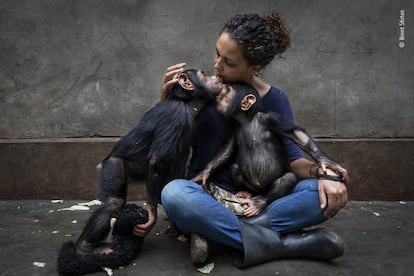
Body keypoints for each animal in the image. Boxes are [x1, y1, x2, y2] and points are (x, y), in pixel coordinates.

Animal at [57, 69, 223, 274]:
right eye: (203, 74)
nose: (215, 77)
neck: (189, 105)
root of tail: (103, 162)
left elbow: (176, 165)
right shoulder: (174, 116)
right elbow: (157, 161)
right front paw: (151, 214)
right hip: (113, 166)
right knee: (114, 202)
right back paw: (83, 249)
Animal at [192, 83, 344, 217]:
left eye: (227, 93)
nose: (219, 97)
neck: (248, 119)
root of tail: (261, 190)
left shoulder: (271, 118)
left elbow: (296, 135)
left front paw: (325, 161)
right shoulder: (234, 129)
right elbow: (227, 150)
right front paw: (203, 174)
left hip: (270, 186)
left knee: (287, 179)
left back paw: (259, 203)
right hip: (252, 186)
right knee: (235, 168)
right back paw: (246, 193)